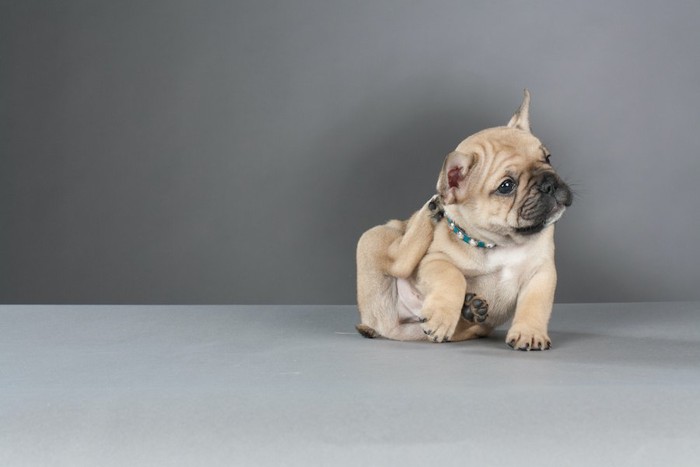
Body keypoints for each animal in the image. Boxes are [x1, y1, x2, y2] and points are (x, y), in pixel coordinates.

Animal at [358, 90, 572, 352]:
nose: (548, 183)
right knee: (398, 261)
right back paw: (430, 210)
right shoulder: (434, 260)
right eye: (506, 186)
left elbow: (535, 304)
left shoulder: (541, 272)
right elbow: (453, 277)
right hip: (375, 238)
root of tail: (387, 329)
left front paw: (529, 333)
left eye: (547, 158)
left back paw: (470, 309)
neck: (502, 242)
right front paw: (441, 316)